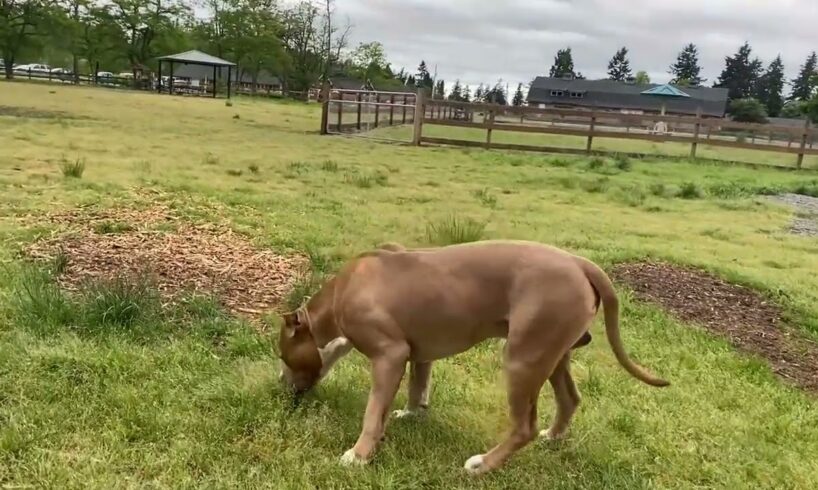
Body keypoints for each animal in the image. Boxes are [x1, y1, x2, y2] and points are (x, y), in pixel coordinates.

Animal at [278, 241, 668, 474]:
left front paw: (358, 455)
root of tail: (578, 262)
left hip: (522, 359)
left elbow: (373, 414)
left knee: (523, 426)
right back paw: (553, 436)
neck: (336, 298)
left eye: (283, 357)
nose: (280, 386)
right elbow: (418, 383)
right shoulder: (417, 352)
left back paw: (484, 464)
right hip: (553, 352)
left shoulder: (390, 354)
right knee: (569, 398)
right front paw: (412, 412)